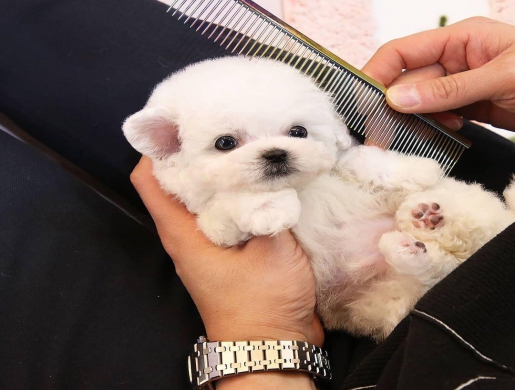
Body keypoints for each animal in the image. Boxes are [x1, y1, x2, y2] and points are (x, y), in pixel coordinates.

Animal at [124, 57, 515, 342]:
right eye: (225, 143)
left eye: (298, 132)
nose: (276, 153)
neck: (299, 187)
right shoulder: (215, 225)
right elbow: (233, 203)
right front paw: (268, 207)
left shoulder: (340, 162)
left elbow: (355, 159)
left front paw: (414, 169)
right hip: (383, 301)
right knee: (435, 270)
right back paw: (413, 240)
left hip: (466, 207)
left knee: (470, 229)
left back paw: (428, 215)